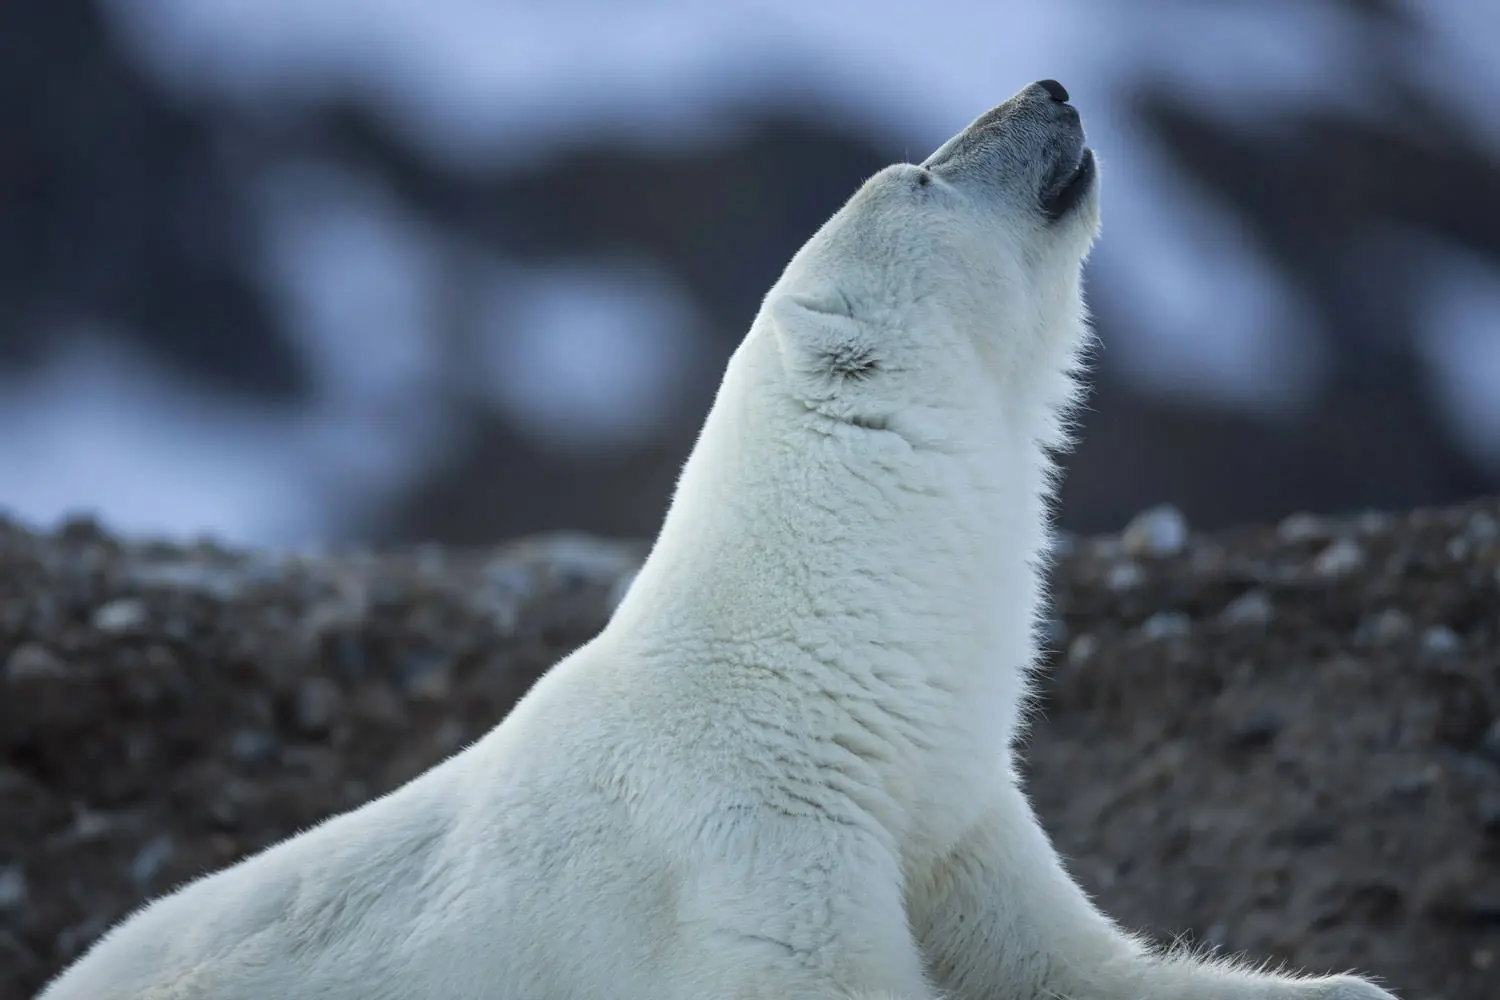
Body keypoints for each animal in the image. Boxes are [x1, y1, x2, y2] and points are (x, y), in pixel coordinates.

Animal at [35, 82, 1392, 1000]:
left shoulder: (948, 809)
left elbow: (1076, 958)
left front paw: (1347, 980)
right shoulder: (747, 852)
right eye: (921, 176)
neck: (806, 672)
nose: (1052, 91)